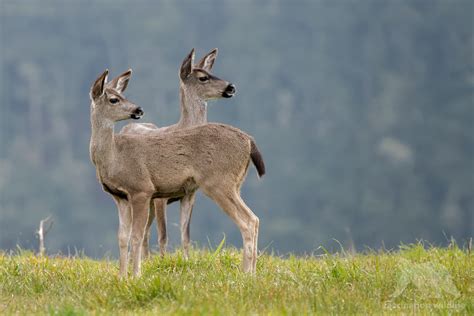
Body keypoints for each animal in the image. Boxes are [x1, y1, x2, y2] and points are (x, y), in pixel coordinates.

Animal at [89, 69, 264, 276]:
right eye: (114, 99)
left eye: (119, 96)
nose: (138, 110)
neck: (115, 157)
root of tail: (249, 141)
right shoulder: (120, 197)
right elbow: (123, 237)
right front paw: (122, 276)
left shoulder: (142, 189)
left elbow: (137, 235)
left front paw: (136, 275)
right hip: (235, 184)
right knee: (254, 219)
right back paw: (251, 272)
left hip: (219, 182)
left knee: (248, 221)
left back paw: (246, 273)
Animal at [119, 47, 236, 260]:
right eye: (203, 78)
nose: (231, 87)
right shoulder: (160, 197)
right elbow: (163, 235)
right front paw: (163, 262)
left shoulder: (189, 192)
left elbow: (185, 235)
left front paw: (187, 260)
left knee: (145, 231)